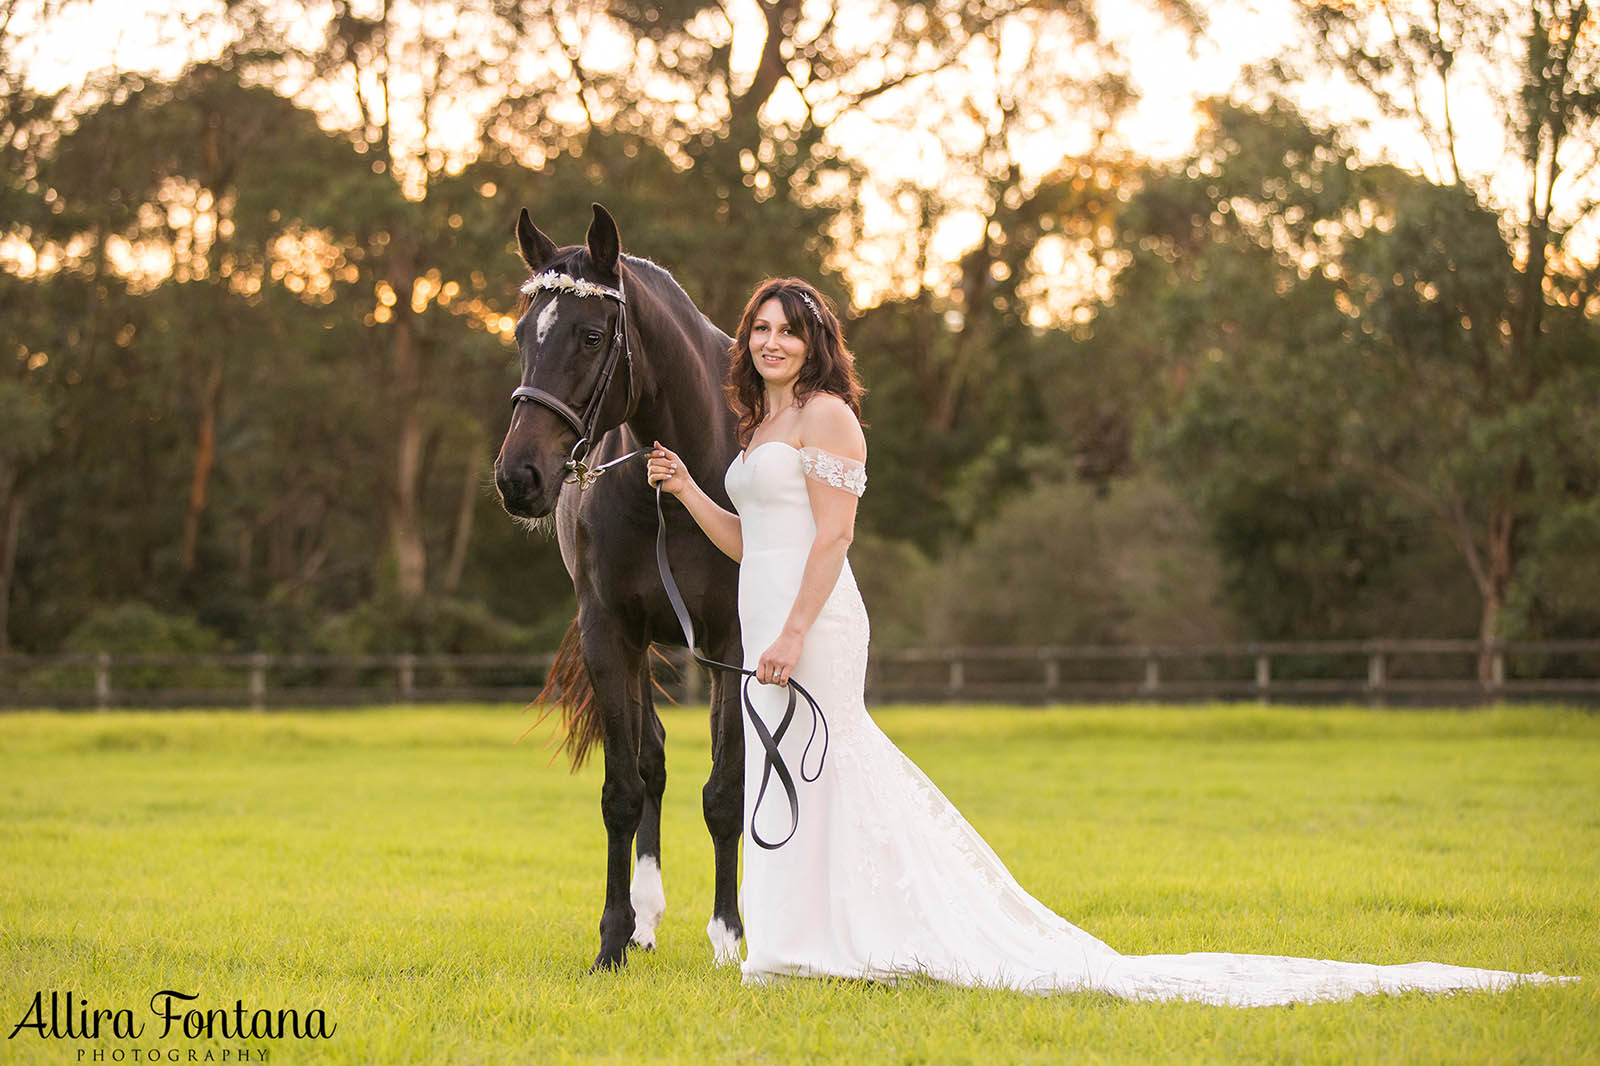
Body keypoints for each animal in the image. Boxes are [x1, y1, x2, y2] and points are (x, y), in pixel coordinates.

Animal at [492, 203, 748, 966]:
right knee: (652, 760)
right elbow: (624, 789)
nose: (518, 477)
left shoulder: (733, 642)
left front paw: (730, 936)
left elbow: (727, 788)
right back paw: (646, 916)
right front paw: (613, 937)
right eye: (521, 334)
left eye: (592, 335)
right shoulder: (610, 635)